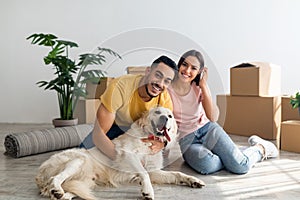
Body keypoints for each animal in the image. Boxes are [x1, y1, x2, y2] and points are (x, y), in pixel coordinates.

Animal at [34, 107, 204, 200]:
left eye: (170, 116)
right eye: (157, 112)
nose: (164, 118)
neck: (149, 138)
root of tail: (39, 175)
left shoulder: (154, 171)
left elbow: (176, 174)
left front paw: (193, 180)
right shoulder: (128, 155)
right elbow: (143, 173)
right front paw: (147, 191)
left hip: (85, 182)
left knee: (63, 193)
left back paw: (59, 194)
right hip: (78, 160)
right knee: (55, 179)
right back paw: (56, 189)